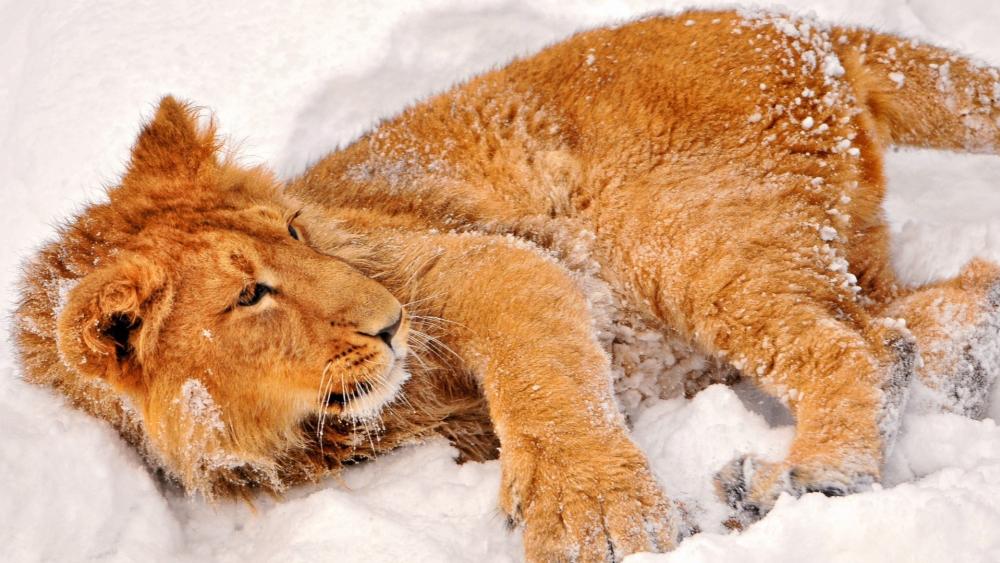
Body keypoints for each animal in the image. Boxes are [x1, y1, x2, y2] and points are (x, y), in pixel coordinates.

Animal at [13, 9, 1000, 562]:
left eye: (294, 231)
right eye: (251, 296)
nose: (390, 324)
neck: (306, 429)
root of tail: (804, 29)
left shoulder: (476, 260)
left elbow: (541, 380)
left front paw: (597, 520)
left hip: (683, 234)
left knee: (853, 344)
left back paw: (808, 478)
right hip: (813, 245)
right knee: (914, 317)